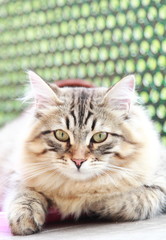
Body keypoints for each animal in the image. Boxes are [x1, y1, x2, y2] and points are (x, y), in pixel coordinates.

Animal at [0, 70, 165, 235]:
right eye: (61, 135)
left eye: (100, 136)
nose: (78, 161)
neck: (77, 187)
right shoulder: (17, 174)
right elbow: (24, 194)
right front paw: (24, 219)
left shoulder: (158, 184)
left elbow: (134, 200)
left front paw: (91, 204)